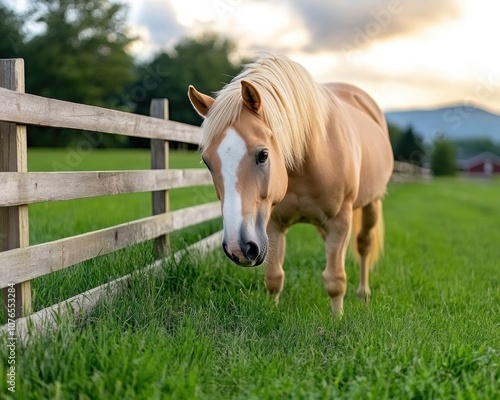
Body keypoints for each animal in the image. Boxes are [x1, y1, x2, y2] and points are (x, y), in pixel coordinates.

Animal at [186, 54, 392, 316]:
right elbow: (274, 277)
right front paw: (272, 312)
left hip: (372, 203)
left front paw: (337, 319)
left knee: (364, 244)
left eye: (263, 155)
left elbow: (335, 279)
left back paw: (363, 294)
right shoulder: (272, 224)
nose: (237, 248)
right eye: (207, 161)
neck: (311, 156)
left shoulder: (340, 221)